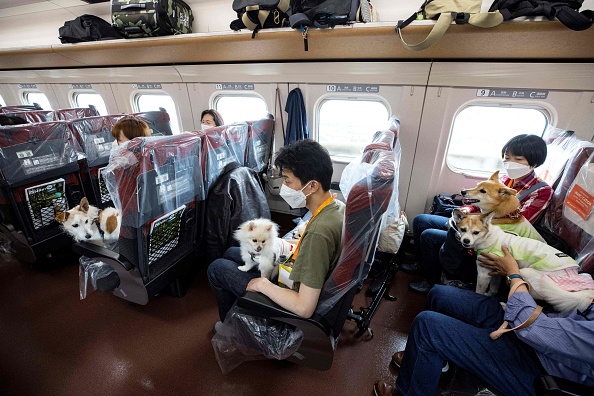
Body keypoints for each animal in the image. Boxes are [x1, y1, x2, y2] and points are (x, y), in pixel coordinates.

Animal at [448, 209, 592, 314]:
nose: (466, 241)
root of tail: (574, 272)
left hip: (526, 274)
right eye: (463, 229)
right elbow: (494, 289)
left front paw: (477, 298)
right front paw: (489, 295)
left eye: (476, 232)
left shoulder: (483, 275)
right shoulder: (496, 273)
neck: (489, 237)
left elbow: (479, 291)